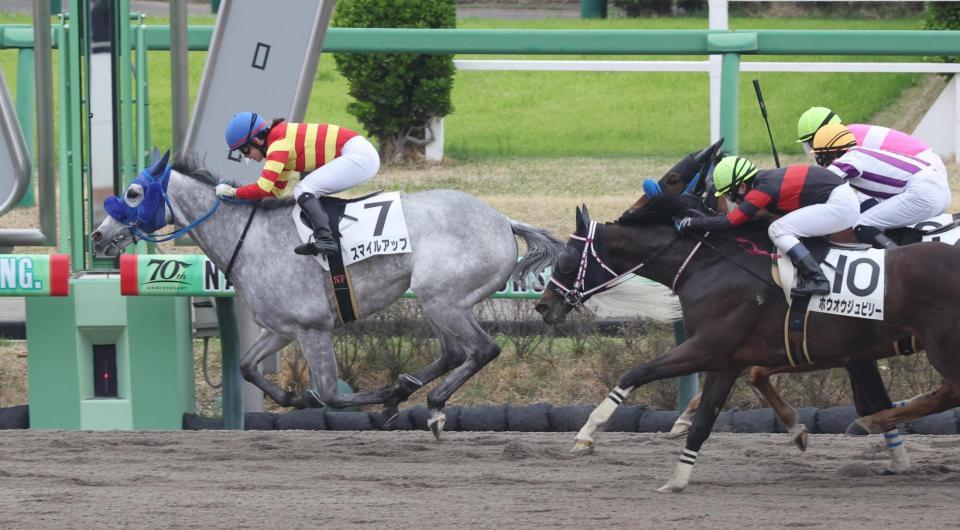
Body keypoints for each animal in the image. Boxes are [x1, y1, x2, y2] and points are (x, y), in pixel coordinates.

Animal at [536, 197, 960, 490]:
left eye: (568, 257)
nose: (543, 305)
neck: (708, 265)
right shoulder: (731, 360)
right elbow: (706, 420)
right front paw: (677, 479)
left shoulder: (707, 347)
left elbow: (635, 373)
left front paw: (587, 433)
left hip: (942, 344)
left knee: (949, 392)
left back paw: (870, 423)